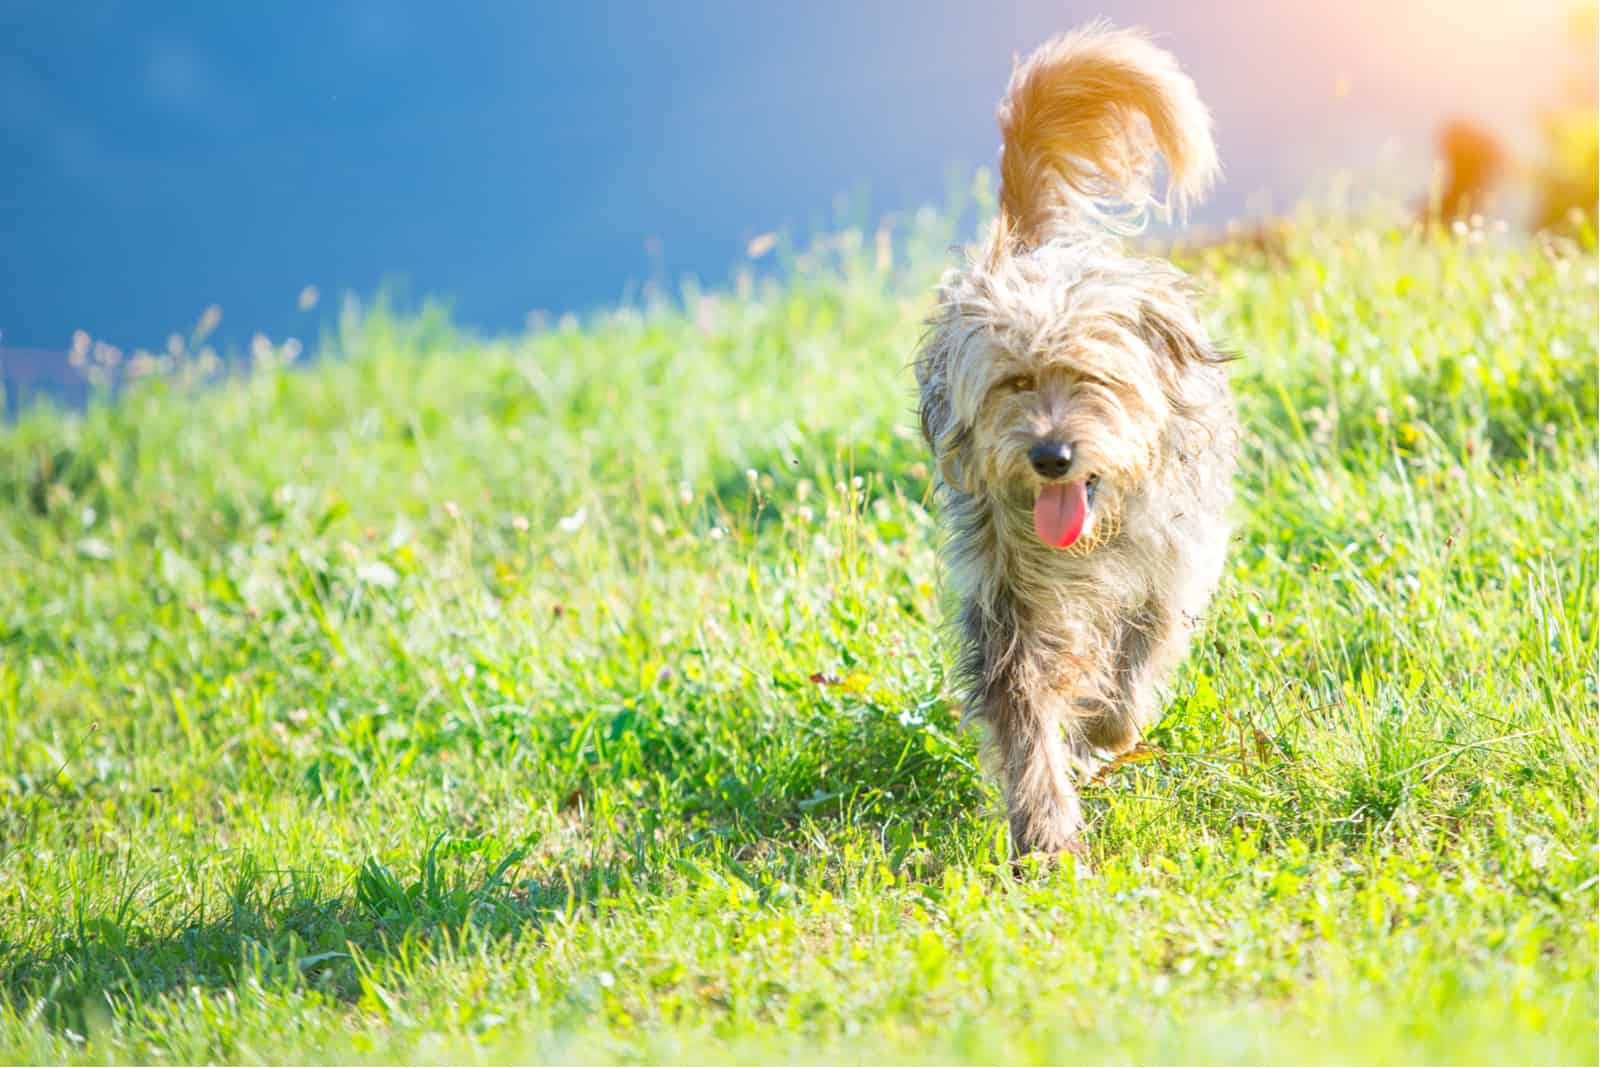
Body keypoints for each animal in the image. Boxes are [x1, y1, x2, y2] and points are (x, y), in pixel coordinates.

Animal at [915, 22, 1235, 856]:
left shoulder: (1170, 570)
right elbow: (1023, 710)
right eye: (1012, 384)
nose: (1050, 456)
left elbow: (1136, 664)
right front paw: (1046, 833)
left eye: (1091, 378)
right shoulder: (1006, 600)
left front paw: (1105, 730)